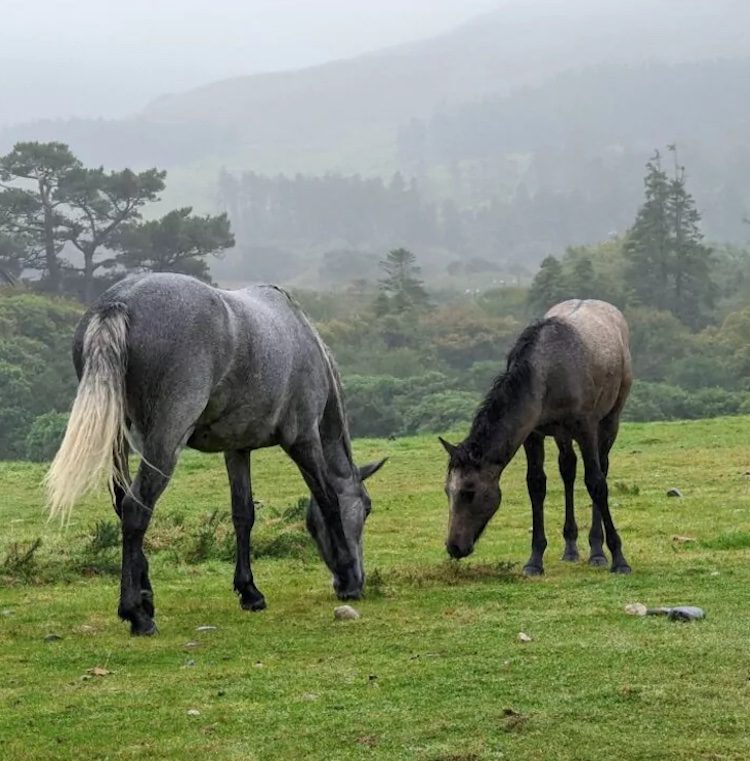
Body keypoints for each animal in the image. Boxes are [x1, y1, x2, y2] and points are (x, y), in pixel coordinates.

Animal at [45, 273, 386, 635]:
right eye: (367, 508)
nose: (355, 578)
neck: (300, 334)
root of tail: (120, 302)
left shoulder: (236, 449)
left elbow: (243, 514)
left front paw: (250, 592)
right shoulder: (304, 440)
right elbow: (329, 500)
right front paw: (348, 575)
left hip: (117, 437)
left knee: (123, 505)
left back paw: (146, 597)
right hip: (166, 438)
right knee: (137, 508)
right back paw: (136, 613)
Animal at [439, 299, 632, 576]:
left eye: (469, 492)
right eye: (447, 491)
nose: (454, 547)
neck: (547, 373)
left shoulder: (586, 428)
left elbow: (596, 483)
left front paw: (617, 557)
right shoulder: (533, 434)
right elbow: (536, 485)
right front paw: (534, 559)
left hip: (609, 419)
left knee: (601, 467)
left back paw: (596, 549)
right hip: (562, 435)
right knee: (568, 469)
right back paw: (570, 547)